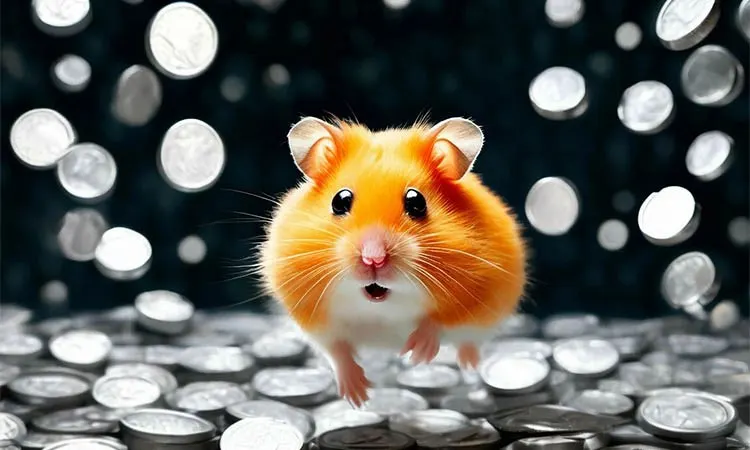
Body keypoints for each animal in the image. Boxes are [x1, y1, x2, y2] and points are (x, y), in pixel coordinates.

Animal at [260, 116, 527, 406]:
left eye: (416, 201)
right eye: (340, 200)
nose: (373, 258)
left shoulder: (479, 295)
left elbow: (440, 321)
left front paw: (417, 354)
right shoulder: (312, 315)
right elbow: (337, 350)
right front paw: (358, 397)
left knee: (469, 343)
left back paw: (469, 364)